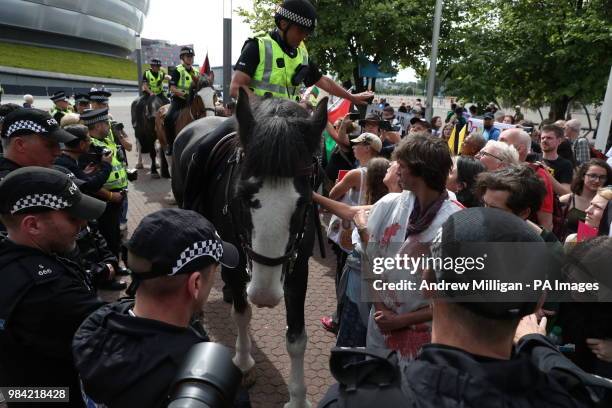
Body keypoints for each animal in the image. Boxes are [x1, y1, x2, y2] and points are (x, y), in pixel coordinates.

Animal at [175, 89, 328, 408]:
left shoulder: (298, 268)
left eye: (304, 202)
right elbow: (242, 314)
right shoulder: (236, 263)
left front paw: (297, 398)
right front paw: (244, 363)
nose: (265, 295)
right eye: (243, 196)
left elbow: (297, 337)